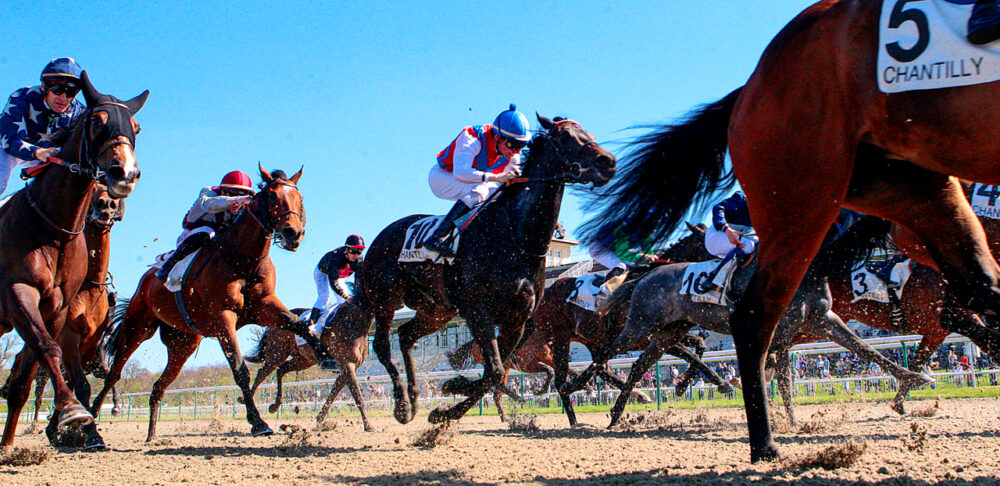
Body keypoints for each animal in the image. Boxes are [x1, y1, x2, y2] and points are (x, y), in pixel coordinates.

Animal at [0, 72, 146, 452]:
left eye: (135, 127)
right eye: (96, 121)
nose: (124, 173)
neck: (54, 230)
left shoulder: (56, 308)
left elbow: (27, 376)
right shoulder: (20, 292)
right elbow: (48, 351)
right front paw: (72, 416)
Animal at [90, 166, 318, 440]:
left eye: (299, 198)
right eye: (272, 196)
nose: (293, 233)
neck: (242, 257)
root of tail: (146, 280)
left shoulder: (264, 306)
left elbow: (299, 324)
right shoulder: (223, 318)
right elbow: (240, 369)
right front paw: (257, 422)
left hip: (182, 344)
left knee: (158, 386)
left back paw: (152, 434)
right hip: (138, 327)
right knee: (114, 374)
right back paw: (93, 416)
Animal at [243, 302, 378, 430]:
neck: (354, 321)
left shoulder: (349, 367)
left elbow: (334, 392)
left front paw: (320, 419)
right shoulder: (347, 364)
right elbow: (357, 396)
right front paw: (368, 425)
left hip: (303, 360)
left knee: (281, 370)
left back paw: (274, 405)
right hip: (277, 353)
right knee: (262, 373)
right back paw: (247, 402)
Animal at [360, 116, 612, 424]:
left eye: (588, 134)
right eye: (565, 136)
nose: (608, 162)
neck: (516, 237)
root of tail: (380, 238)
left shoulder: (517, 319)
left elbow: (495, 371)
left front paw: (451, 394)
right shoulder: (478, 310)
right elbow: (494, 371)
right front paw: (449, 398)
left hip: (437, 309)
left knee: (406, 335)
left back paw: (416, 395)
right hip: (385, 297)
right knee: (383, 345)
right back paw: (403, 405)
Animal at [580, 0, 1000, 462]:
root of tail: (647, 277)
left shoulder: (822, 323)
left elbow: (856, 353)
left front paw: (903, 385)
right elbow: (779, 370)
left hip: (666, 331)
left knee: (642, 362)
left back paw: (620, 409)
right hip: (646, 325)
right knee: (615, 352)